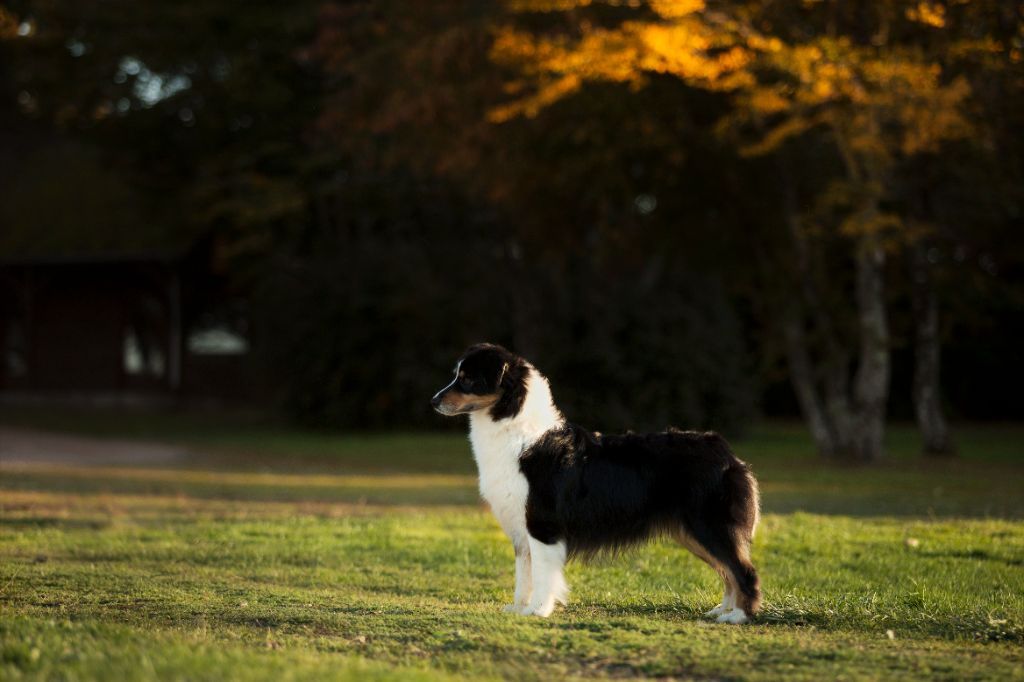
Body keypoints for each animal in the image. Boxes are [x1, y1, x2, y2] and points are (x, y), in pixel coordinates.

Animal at [430, 346, 761, 622]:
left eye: (468, 379)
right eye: (457, 376)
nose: (433, 401)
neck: (516, 429)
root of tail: (725, 451)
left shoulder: (542, 524)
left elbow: (543, 573)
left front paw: (538, 610)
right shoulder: (520, 527)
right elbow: (524, 573)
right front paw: (519, 607)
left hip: (709, 526)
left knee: (743, 570)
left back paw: (738, 616)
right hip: (692, 532)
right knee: (728, 570)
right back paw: (723, 610)